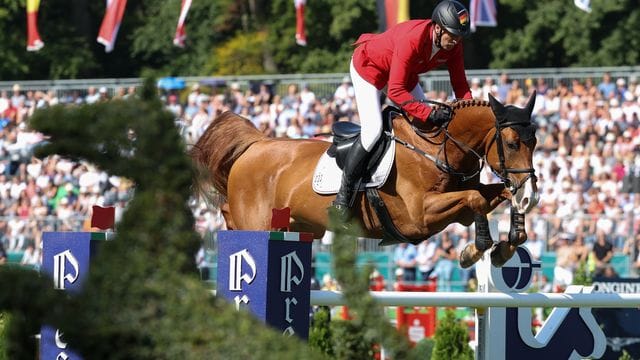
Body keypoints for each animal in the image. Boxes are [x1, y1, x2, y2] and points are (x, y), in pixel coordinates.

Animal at [191, 93, 540, 268]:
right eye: (512, 144)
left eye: (535, 141)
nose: (532, 195)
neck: (435, 148)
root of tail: (256, 145)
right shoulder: (419, 217)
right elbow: (476, 199)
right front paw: (474, 251)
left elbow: (496, 195)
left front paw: (510, 242)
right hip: (257, 217)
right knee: (234, 217)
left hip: (298, 225)